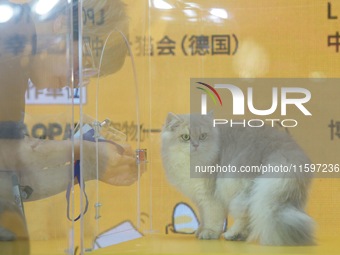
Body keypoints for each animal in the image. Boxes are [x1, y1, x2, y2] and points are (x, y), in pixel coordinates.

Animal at [161, 112, 314, 246]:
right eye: (186, 137)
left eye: (203, 136)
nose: (196, 145)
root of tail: (282, 148)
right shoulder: (199, 199)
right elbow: (203, 217)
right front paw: (200, 230)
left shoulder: (210, 196)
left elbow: (212, 217)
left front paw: (209, 233)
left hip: (238, 187)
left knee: (245, 216)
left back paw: (232, 234)